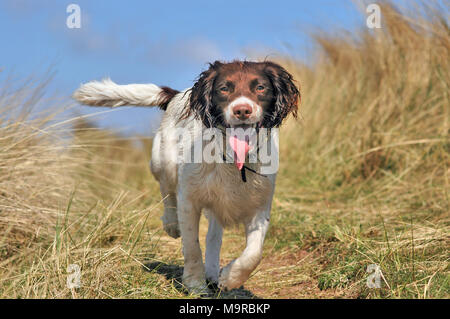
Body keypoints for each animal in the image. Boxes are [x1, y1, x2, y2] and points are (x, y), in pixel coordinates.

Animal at [74, 61, 298, 294]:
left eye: (261, 87)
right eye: (224, 88)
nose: (242, 110)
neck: (233, 160)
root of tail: (178, 94)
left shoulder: (259, 208)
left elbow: (254, 254)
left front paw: (230, 278)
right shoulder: (190, 200)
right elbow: (192, 246)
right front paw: (195, 284)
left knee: (214, 237)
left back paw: (212, 272)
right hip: (163, 162)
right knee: (167, 191)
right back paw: (172, 224)